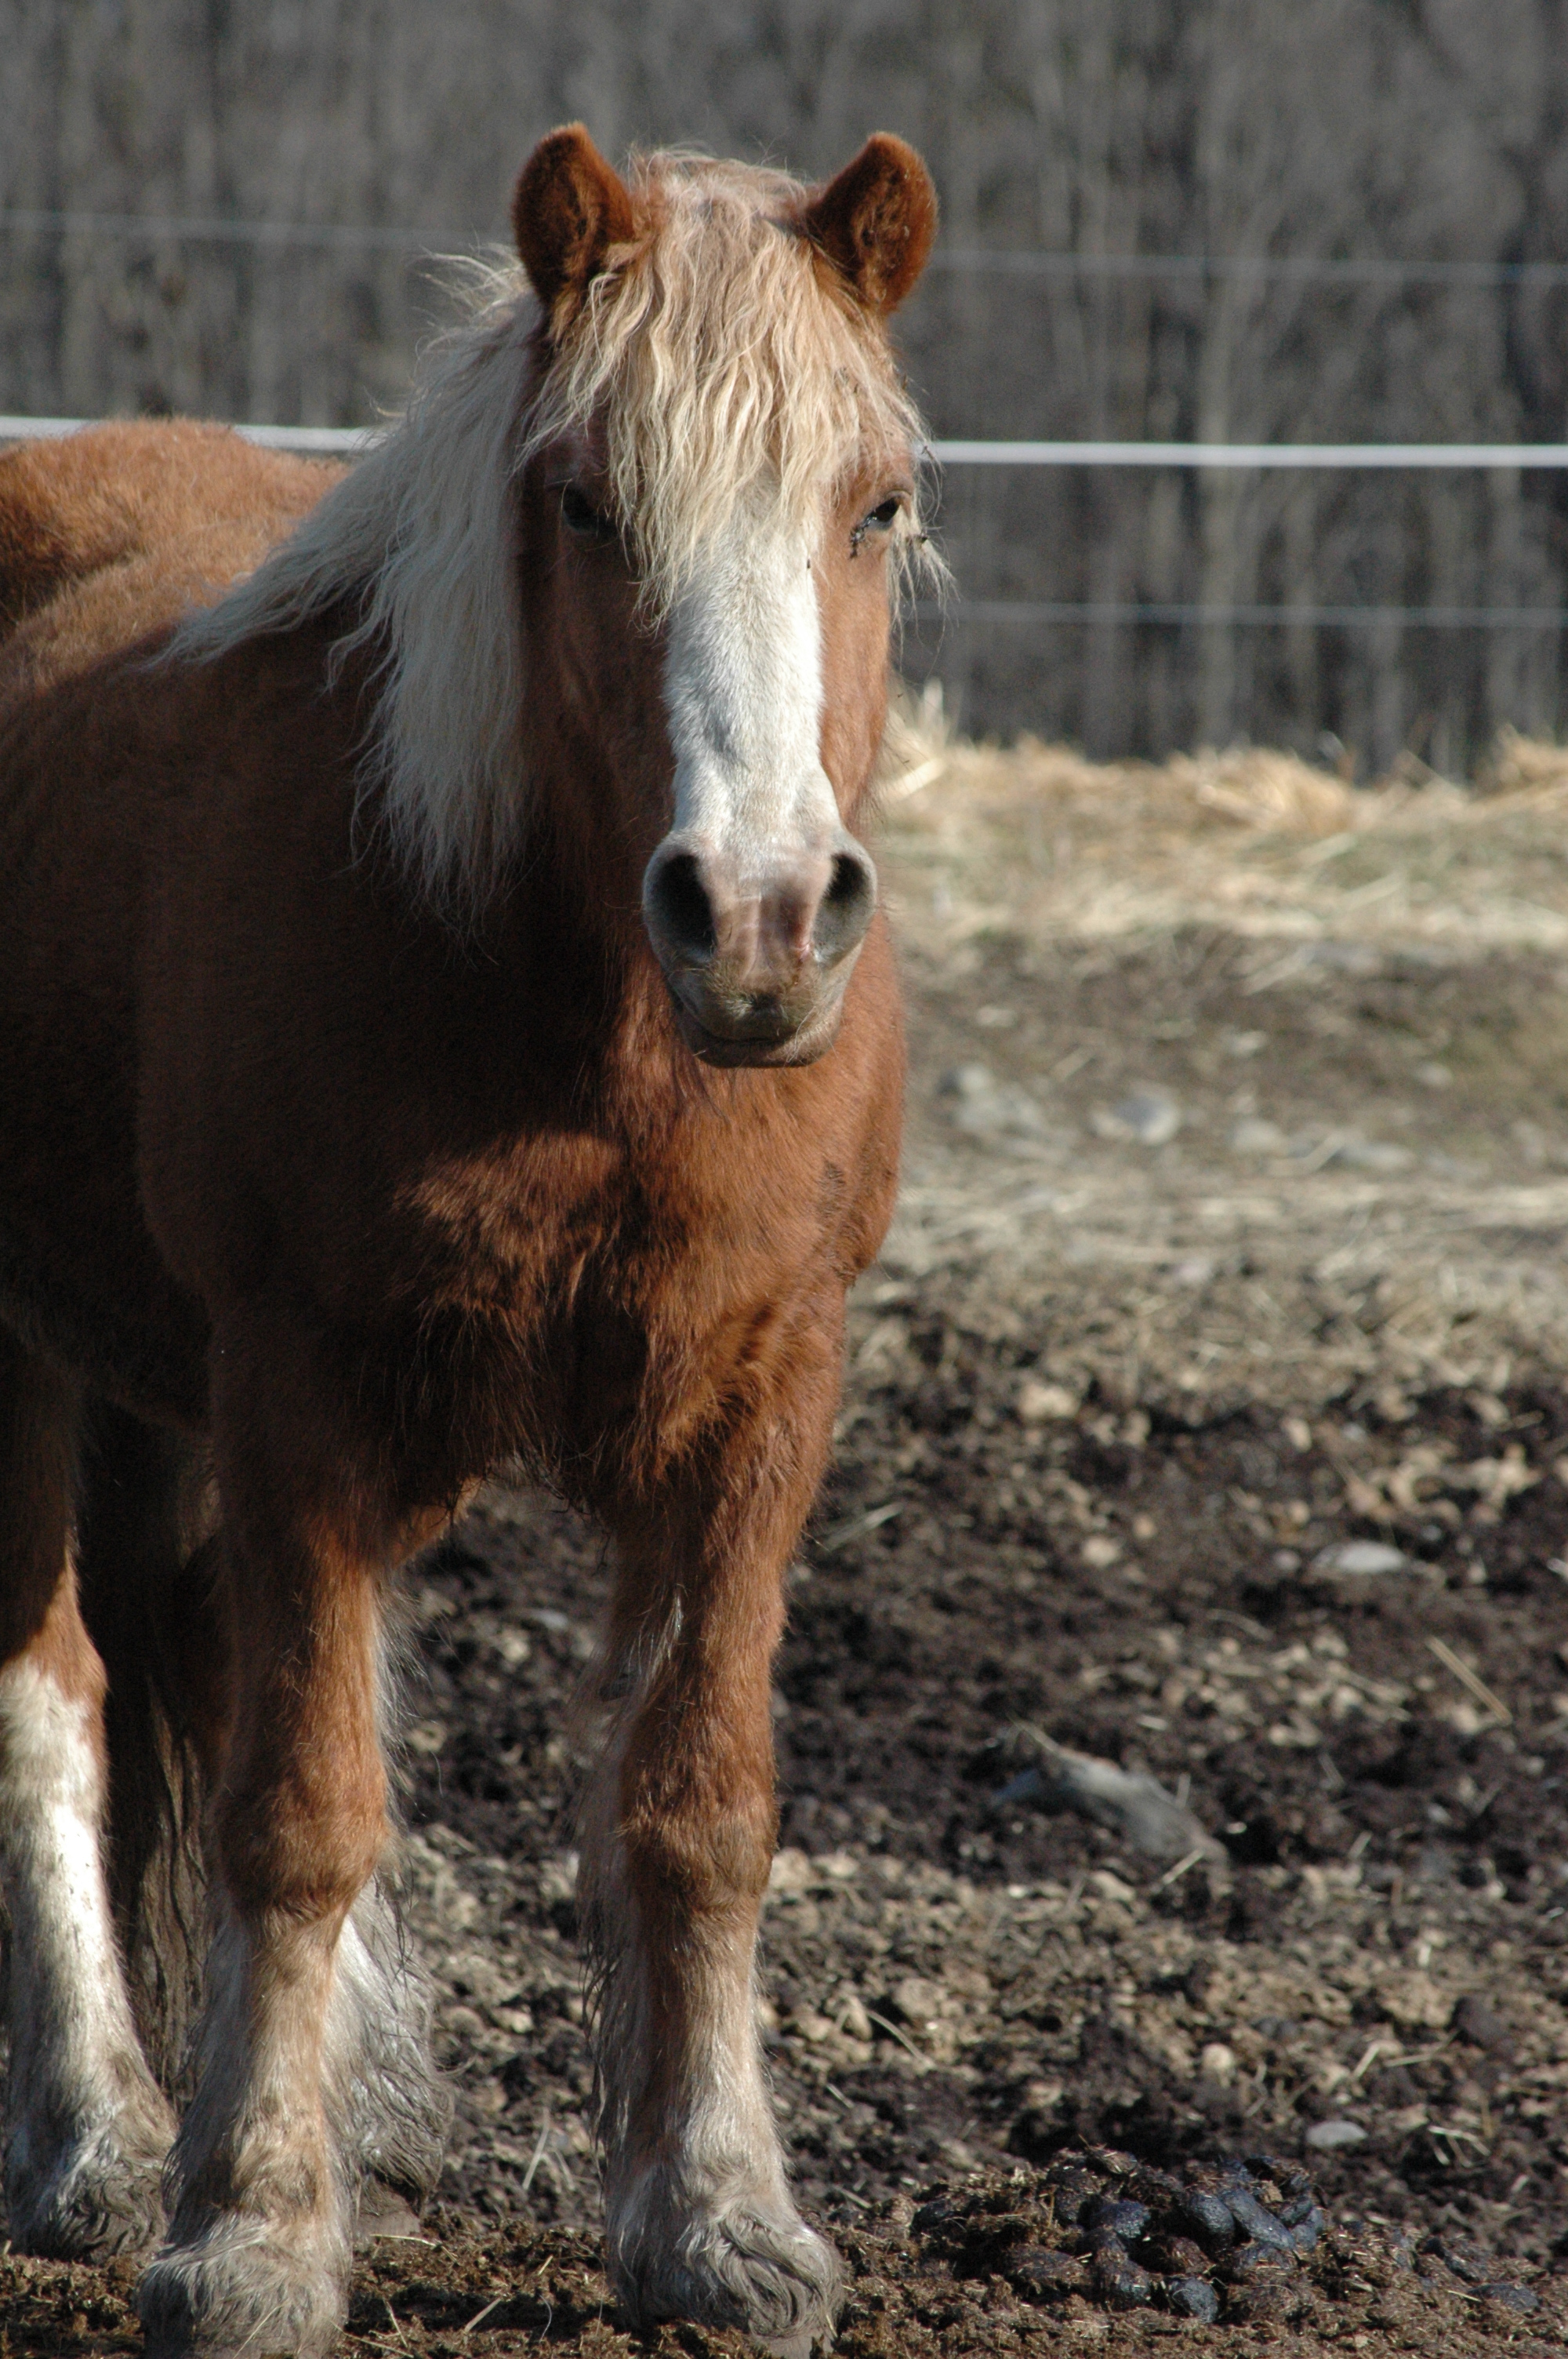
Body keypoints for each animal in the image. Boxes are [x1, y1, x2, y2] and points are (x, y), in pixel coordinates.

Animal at [0, 125, 938, 2357]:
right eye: (586, 500)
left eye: (875, 501)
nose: (760, 914)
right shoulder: (303, 1396)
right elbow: (299, 1807)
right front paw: (250, 2228)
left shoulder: (764, 1394)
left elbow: (699, 1806)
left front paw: (722, 2219)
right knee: (52, 1691)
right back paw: (98, 2134)